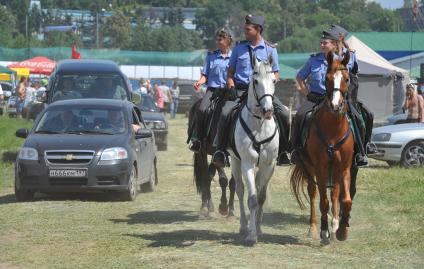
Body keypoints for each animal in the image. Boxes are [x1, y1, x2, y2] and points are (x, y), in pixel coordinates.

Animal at [230, 57, 280, 245]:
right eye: (255, 81)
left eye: (274, 80)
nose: (268, 111)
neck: (259, 125)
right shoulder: (247, 164)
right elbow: (251, 199)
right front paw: (251, 235)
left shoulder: (269, 165)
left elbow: (261, 197)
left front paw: (258, 229)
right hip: (235, 162)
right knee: (239, 189)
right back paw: (244, 226)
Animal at [292, 51, 354, 243]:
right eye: (327, 78)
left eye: (347, 78)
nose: (335, 105)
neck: (333, 129)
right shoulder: (320, 168)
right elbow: (323, 202)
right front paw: (324, 232)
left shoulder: (344, 167)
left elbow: (345, 200)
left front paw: (342, 230)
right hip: (309, 167)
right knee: (313, 193)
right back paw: (313, 228)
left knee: (334, 193)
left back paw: (335, 226)